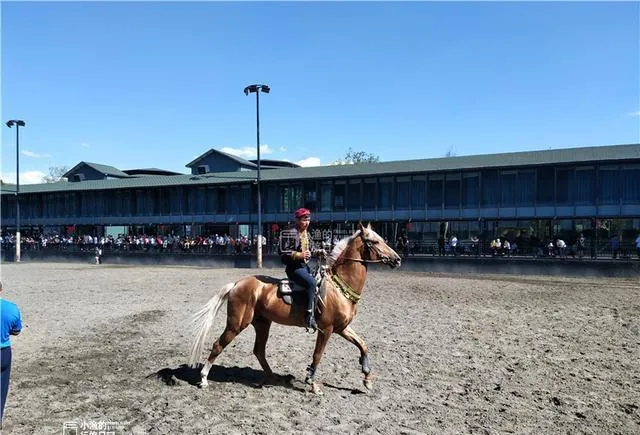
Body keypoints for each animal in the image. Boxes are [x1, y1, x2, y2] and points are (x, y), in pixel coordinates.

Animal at [188, 223, 402, 396]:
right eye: (374, 241)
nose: (397, 259)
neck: (339, 287)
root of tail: (236, 284)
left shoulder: (342, 328)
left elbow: (362, 344)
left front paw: (367, 378)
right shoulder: (326, 329)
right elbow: (317, 355)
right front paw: (313, 383)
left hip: (262, 324)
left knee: (259, 350)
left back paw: (273, 377)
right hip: (236, 324)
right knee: (218, 345)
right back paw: (204, 379)